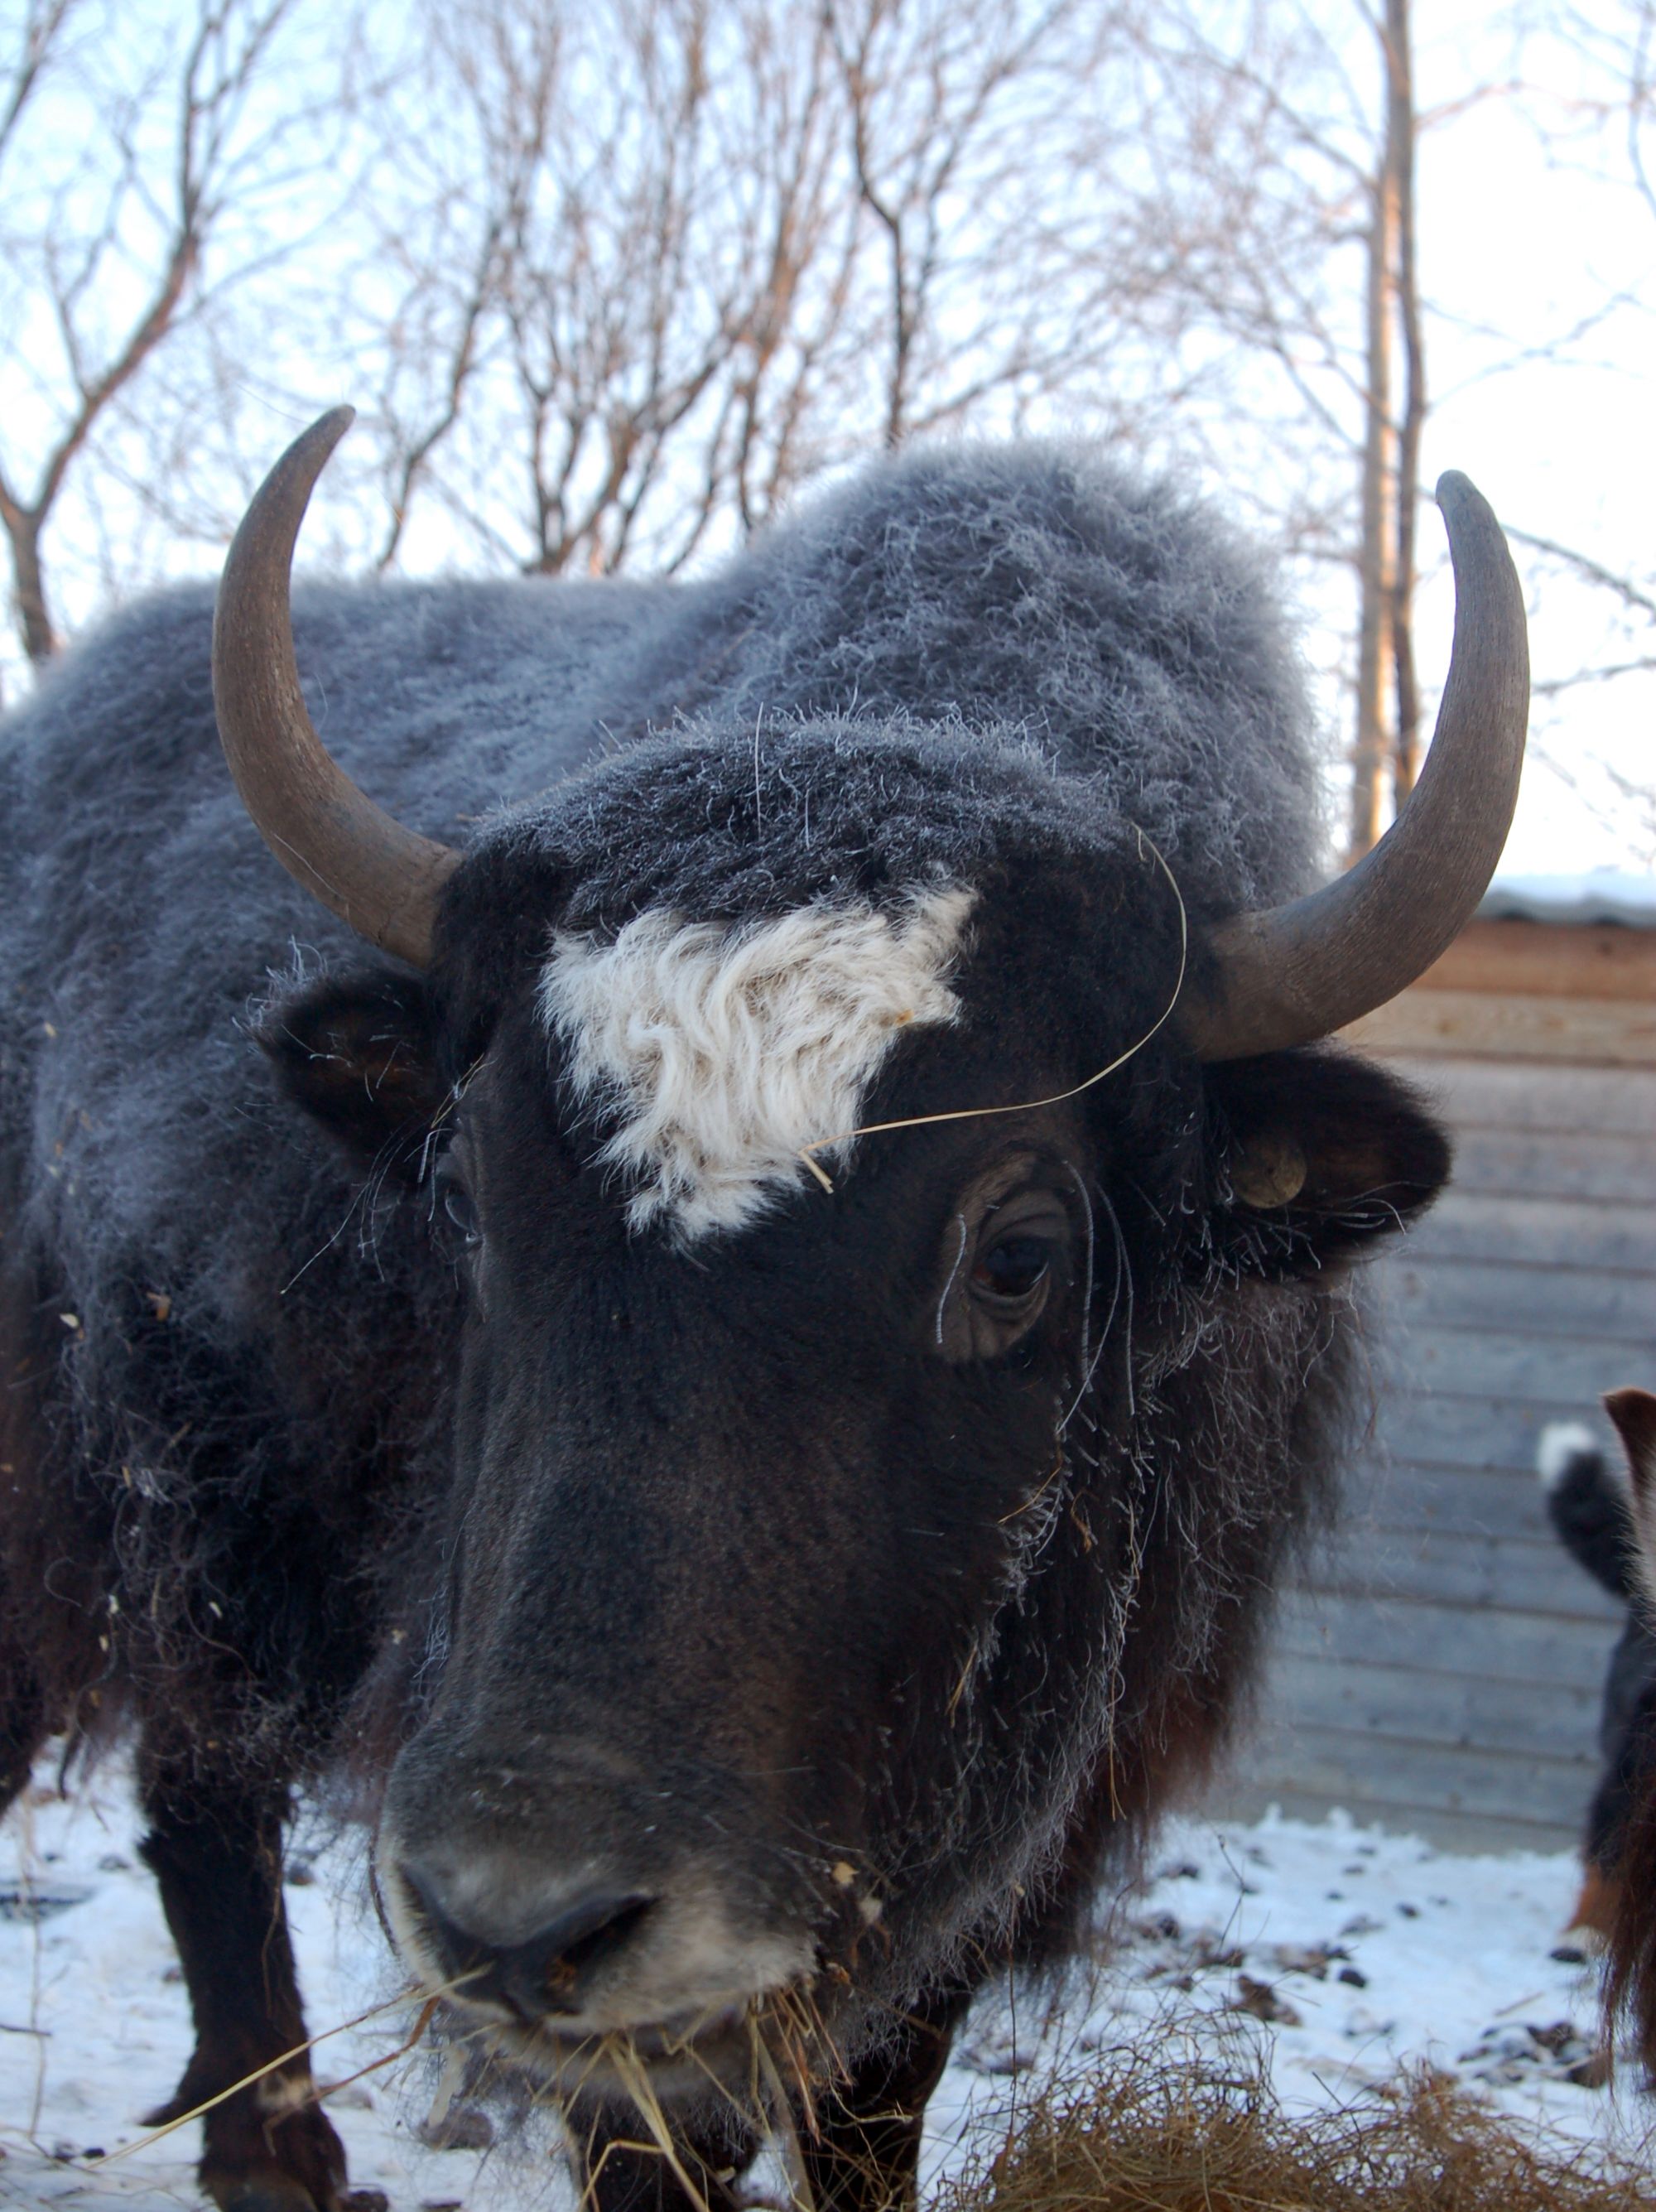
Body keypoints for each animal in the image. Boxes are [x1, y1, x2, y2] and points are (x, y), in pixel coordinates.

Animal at [0, 408, 1526, 2212]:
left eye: (1018, 1253)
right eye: (466, 1196)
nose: (520, 1915)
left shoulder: (976, 1852)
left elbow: (872, 2108)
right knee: (202, 1792)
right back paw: (281, 2147)